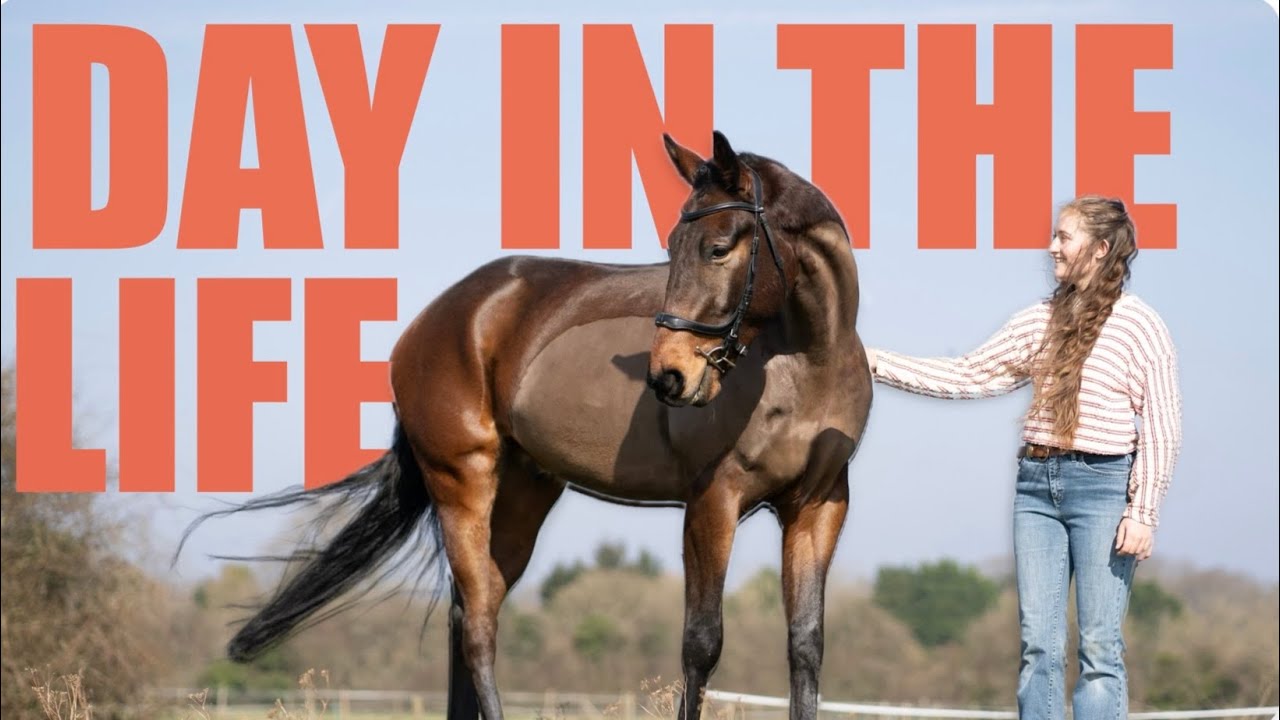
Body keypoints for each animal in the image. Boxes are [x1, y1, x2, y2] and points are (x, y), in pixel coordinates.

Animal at [191, 130, 873, 720]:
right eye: (673, 248)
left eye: (719, 247)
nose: (669, 377)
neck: (805, 362)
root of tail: (436, 319)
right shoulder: (712, 501)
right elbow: (701, 644)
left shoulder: (818, 506)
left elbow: (805, 645)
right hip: (462, 481)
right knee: (479, 622)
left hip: (524, 491)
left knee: (468, 609)